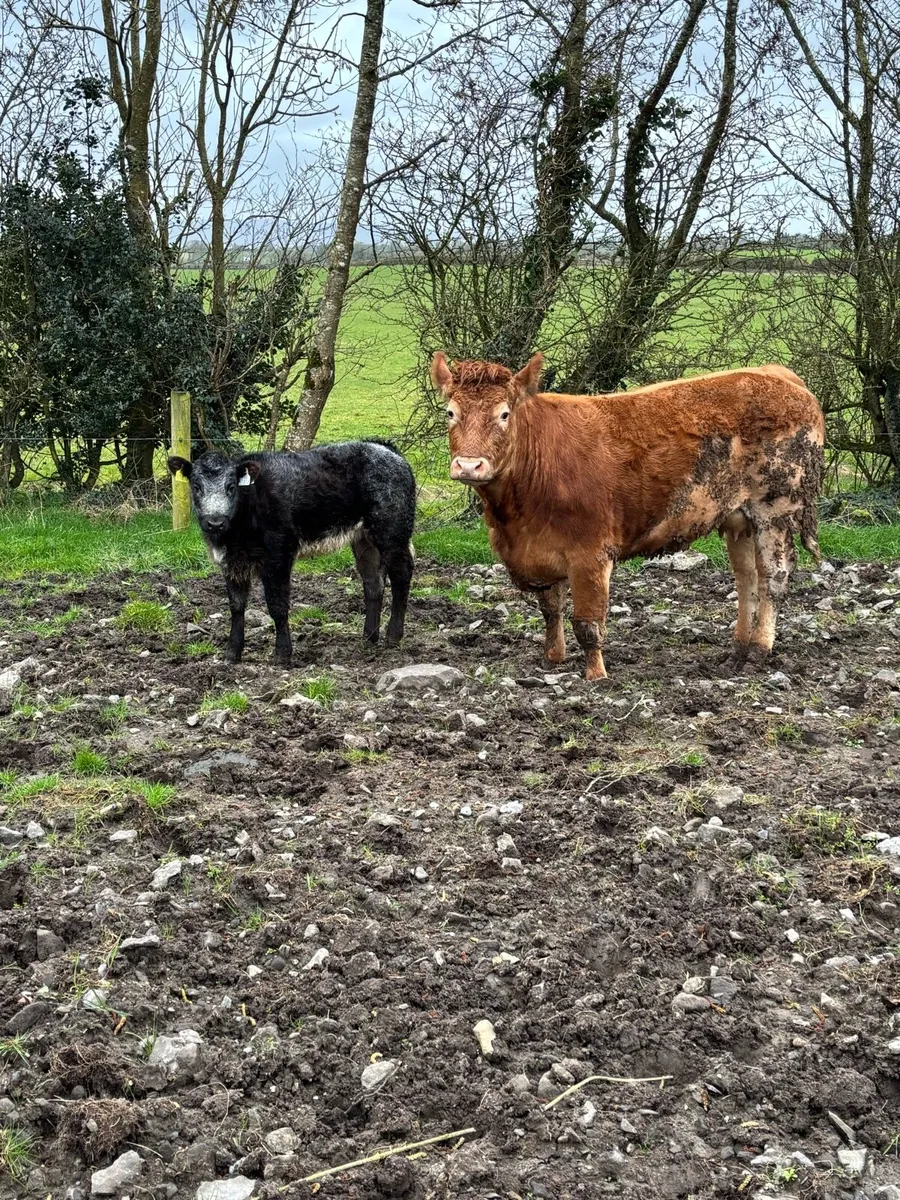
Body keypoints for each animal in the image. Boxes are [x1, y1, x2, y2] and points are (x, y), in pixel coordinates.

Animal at [168, 441, 416, 666]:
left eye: (231, 487)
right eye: (196, 487)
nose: (215, 522)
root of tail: (387, 449)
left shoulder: (278, 555)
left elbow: (277, 605)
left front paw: (282, 654)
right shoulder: (231, 563)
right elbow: (236, 606)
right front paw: (232, 654)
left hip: (392, 531)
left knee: (401, 575)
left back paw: (392, 637)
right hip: (363, 539)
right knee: (373, 582)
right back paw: (369, 637)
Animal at [431, 352, 825, 680]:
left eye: (504, 414)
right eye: (450, 413)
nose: (469, 465)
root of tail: (774, 374)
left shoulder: (590, 554)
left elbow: (587, 623)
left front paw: (596, 675)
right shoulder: (540, 552)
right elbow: (551, 610)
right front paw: (552, 658)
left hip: (776, 509)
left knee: (773, 577)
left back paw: (758, 650)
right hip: (738, 517)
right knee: (747, 579)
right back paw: (737, 651)